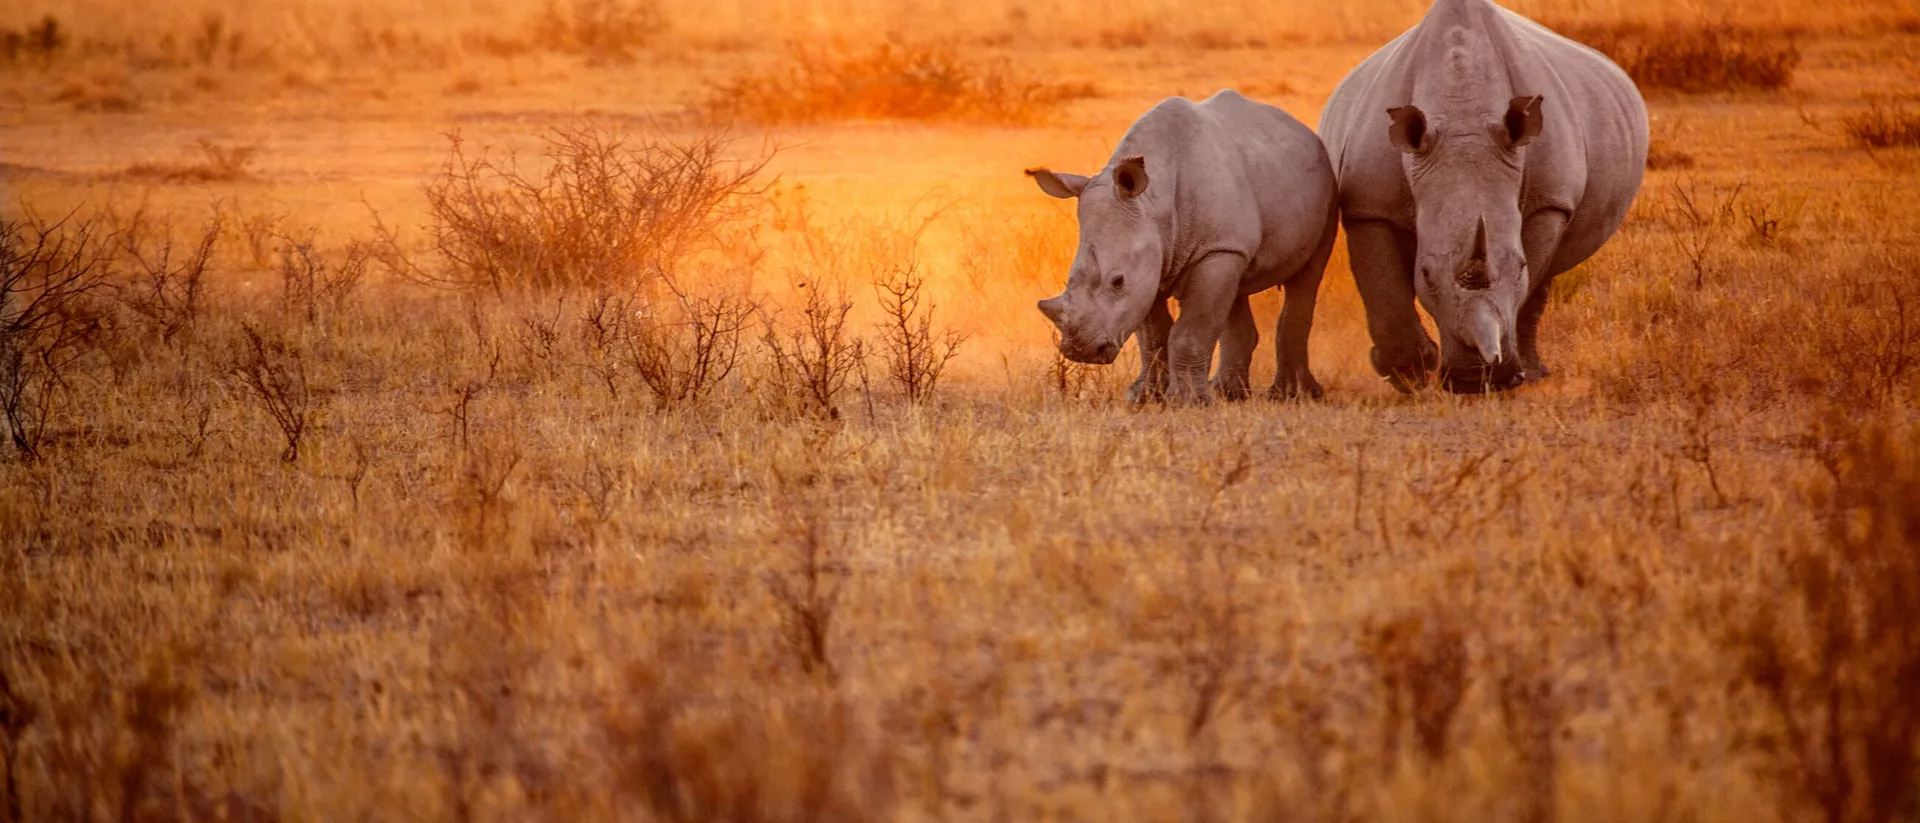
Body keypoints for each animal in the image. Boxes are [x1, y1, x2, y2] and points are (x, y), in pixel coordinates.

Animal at [1028, 90, 1339, 405]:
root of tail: (1304, 131)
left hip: (1326, 185)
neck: (1153, 204)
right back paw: (1228, 393)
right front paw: (1144, 397)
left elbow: (1191, 330)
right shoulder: (1155, 259)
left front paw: (1187, 401)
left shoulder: (1213, 249)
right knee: (1235, 287)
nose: (1081, 351)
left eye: (1117, 281)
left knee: (1307, 277)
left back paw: (1291, 395)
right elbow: (1153, 335)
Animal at [1320, 0, 1648, 392]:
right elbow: (1383, 287)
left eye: (1519, 267)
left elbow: (1529, 282)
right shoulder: (1369, 205)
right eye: (1426, 274)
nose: (1477, 380)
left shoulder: (1549, 201)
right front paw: (1409, 375)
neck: (1462, 117)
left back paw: (1534, 375)